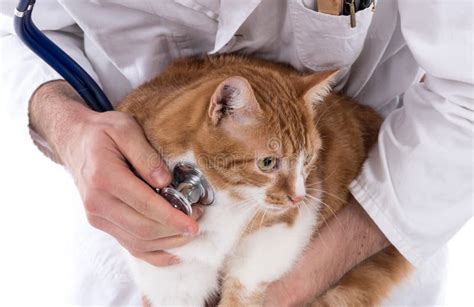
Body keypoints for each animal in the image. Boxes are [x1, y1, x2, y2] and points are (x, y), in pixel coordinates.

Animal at [118, 56, 412, 306]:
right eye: (267, 163)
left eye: (308, 159)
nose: (298, 197)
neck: (224, 202)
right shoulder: (169, 264)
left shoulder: (285, 227)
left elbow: (244, 285)